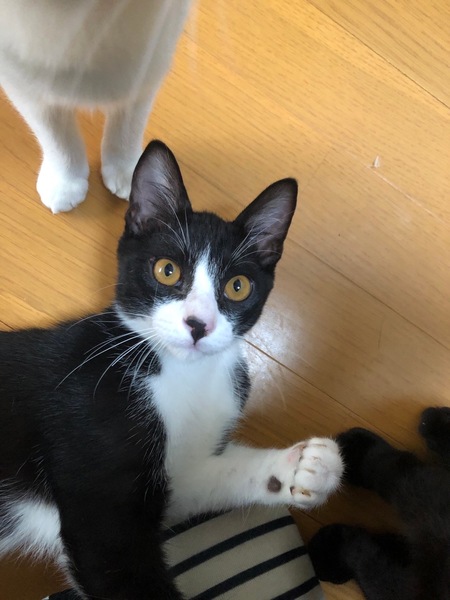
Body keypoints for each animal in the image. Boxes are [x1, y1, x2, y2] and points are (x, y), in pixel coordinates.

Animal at [0, 0, 192, 213]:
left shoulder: (147, 65)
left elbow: (127, 132)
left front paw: (128, 171)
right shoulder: (23, 83)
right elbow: (56, 139)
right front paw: (65, 182)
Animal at [0, 140, 343, 599]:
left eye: (238, 286)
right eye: (167, 270)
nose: (198, 325)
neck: (183, 375)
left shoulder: (176, 474)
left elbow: (201, 478)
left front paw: (305, 466)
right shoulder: (91, 444)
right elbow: (115, 559)